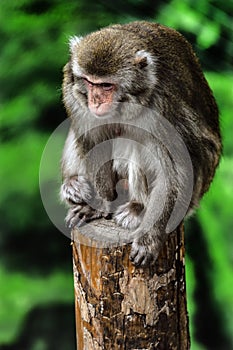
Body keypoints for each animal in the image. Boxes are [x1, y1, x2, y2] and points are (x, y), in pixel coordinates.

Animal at [59, 21, 221, 266]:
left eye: (106, 86)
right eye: (88, 82)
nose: (95, 101)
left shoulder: (161, 108)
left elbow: (174, 171)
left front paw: (149, 239)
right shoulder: (73, 94)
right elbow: (95, 141)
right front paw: (100, 203)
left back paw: (137, 209)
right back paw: (74, 185)